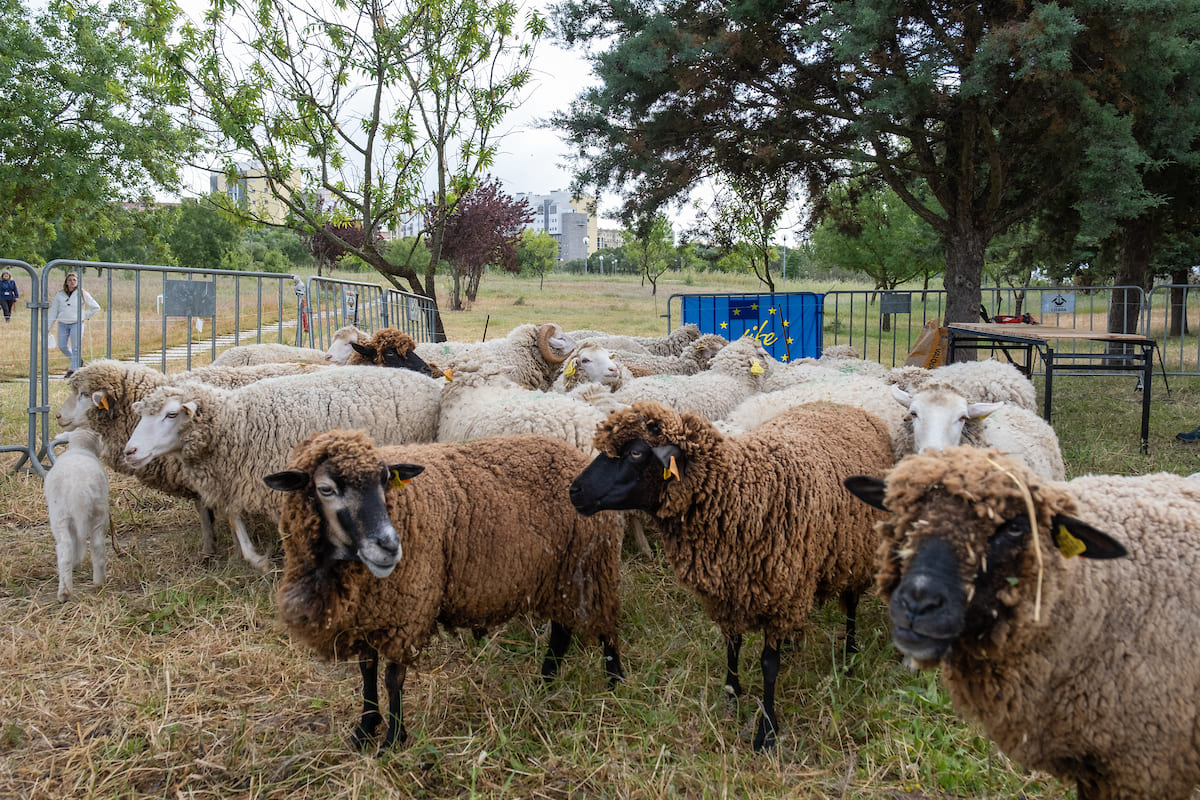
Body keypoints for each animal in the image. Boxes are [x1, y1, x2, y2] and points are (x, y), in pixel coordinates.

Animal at [43, 431, 109, 599]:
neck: (81, 447)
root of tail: (81, 488)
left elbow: (74, 543)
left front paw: (75, 563)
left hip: (59, 516)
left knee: (65, 549)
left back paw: (64, 592)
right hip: (100, 511)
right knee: (97, 545)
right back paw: (99, 582)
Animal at [264, 431, 628, 753]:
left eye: (385, 481)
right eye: (325, 489)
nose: (389, 547)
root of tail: (574, 455)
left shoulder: (407, 611)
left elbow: (393, 678)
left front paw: (392, 741)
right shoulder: (368, 614)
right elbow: (366, 671)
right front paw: (365, 729)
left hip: (593, 567)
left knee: (606, 626)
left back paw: (615, 683)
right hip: (561, 576)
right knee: (562, 631)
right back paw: (546, 682)